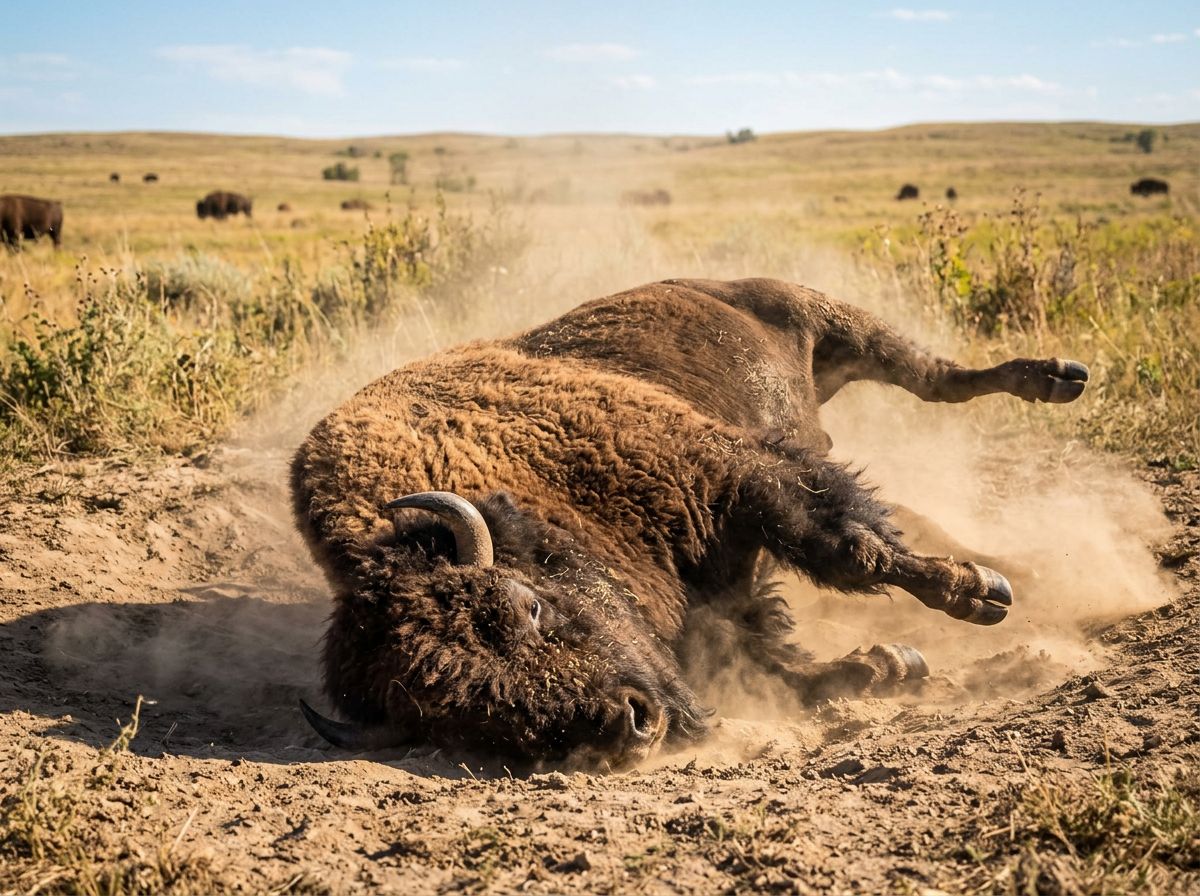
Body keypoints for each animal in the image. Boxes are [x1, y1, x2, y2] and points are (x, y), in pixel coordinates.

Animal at [293, 278, 1089, 767]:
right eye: (468, 716)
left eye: (527, 607)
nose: (629, 724)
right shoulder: (714, 597)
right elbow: (774, 662)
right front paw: (887, 664)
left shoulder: (737, 475)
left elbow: (849, 549)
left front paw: (980, 595)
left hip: (836, 325)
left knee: (936, 379)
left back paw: (1056, 381)